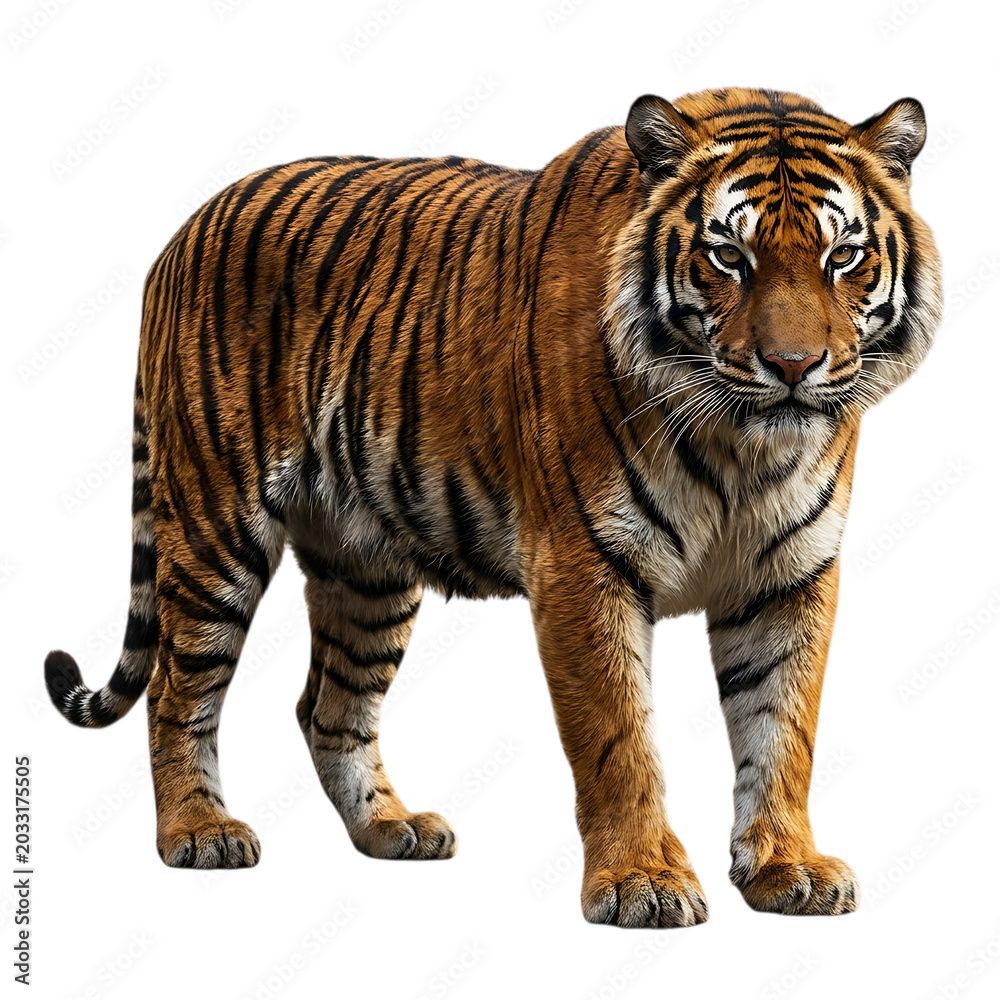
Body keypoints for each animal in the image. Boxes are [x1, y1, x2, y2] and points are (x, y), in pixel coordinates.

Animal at [44, 86, 942, 927]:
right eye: (729, 255)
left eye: (844, 256)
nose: (792, 366)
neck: (742, 448)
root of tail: (184, 229)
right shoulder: (584, 562)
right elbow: (620, 737)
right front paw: (643, 883)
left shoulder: (789, 575)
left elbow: (782, 730)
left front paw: (787, 868)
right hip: (215, 528)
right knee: (175, 688)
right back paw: (198, 832)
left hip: (366, 568)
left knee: (328, 706)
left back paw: (391, 828)